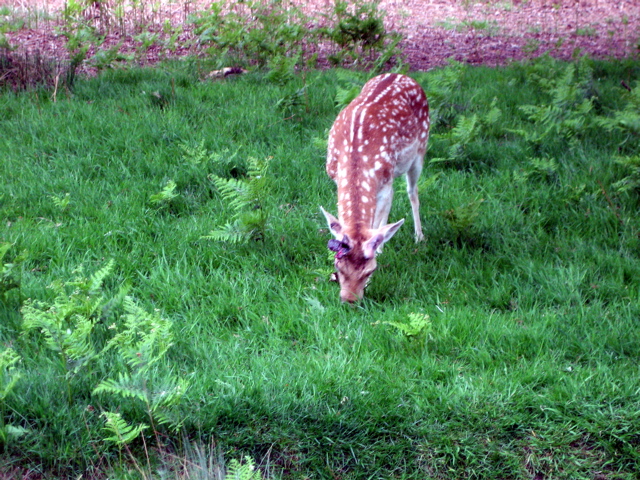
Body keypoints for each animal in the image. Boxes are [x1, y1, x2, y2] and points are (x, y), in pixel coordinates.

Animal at [320, 73, 430, 303]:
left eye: (370, 271)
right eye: (337, 265)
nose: (350, 300)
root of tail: (402, 75)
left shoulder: (385, 183)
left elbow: (377, 223)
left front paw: (379, 250)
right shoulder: (335, 177)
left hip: (420, 150)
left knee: (412, 192)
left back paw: (419, 236)